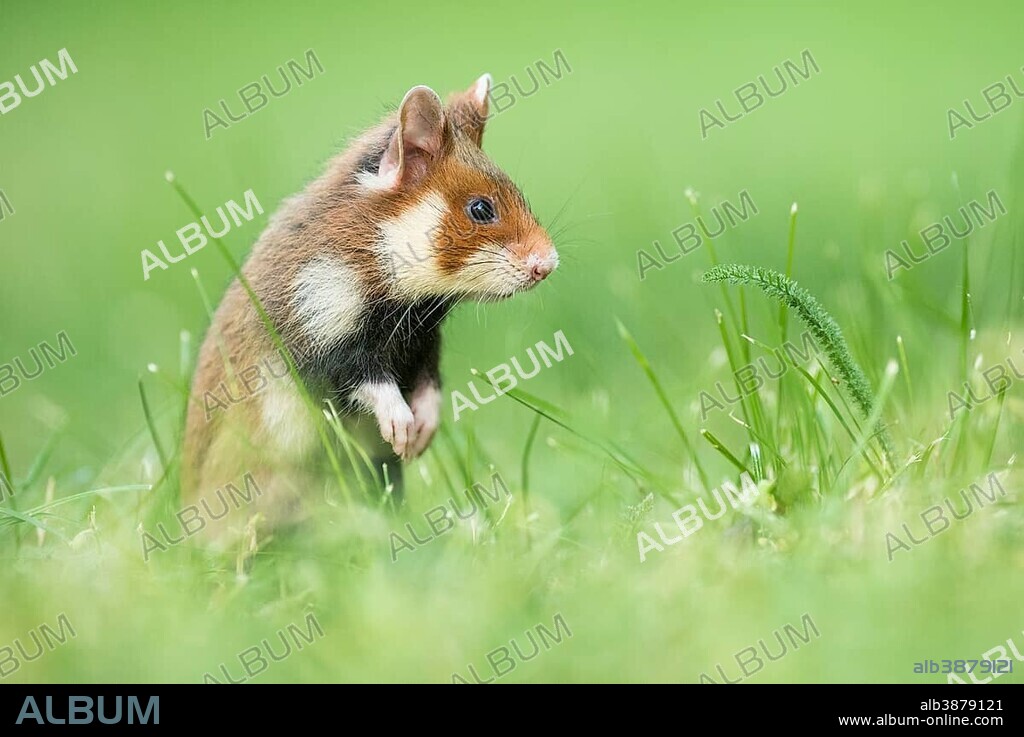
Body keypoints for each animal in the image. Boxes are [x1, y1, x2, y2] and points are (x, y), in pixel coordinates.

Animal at [181, 74, 558, 540]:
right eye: (482, 208)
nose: (548, 264)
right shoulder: (320, 337)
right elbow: (369, 381)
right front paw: (402, 429)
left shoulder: (423, 344)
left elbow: (430, 385)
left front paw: (421, 436)